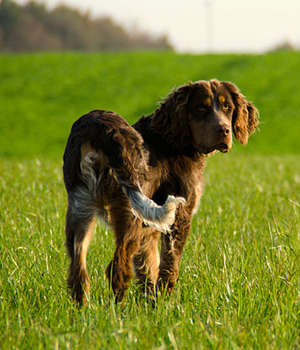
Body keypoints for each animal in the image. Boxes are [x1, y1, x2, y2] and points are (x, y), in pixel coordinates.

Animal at [63, 78, 260, 304]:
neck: (174, 141)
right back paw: (118, 311)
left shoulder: (148, 230)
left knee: (78, 273)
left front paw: (151, 305)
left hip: (80, 209)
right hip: (130, 213)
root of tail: (98, 129)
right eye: (201, 107)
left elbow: (149, 269)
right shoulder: (180, 216)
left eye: (227, 107)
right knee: (117, 268)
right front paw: (166, 304)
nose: (224, 130)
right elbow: (168, 268)